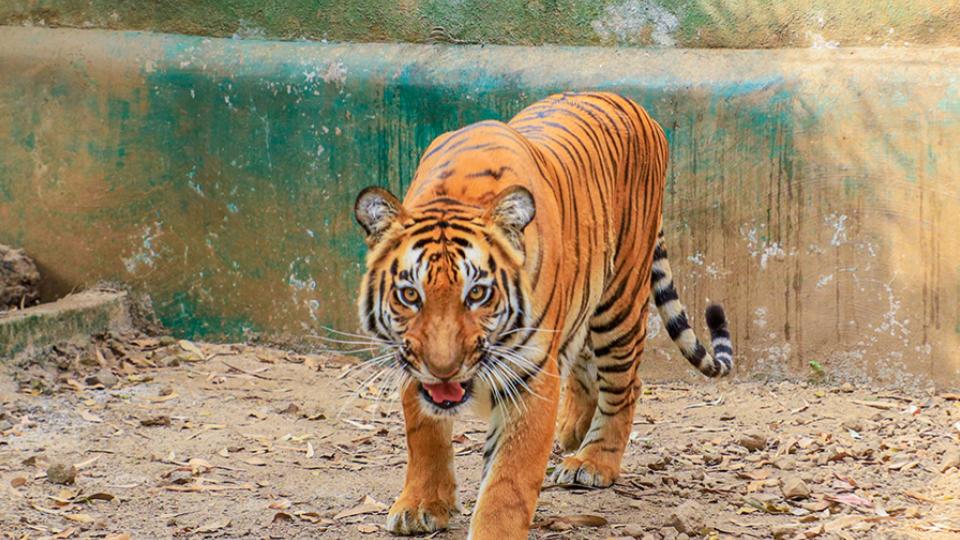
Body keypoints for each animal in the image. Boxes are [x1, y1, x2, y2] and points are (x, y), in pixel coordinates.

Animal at [353, 91, 733, 539]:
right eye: (410, 295)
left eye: (478, 293)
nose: (443, 369)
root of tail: (633, 104)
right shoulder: (410, 361)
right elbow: (424, 437)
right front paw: (421, 505)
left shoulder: (528, 377)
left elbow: (507, 483)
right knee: (584, 367)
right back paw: (573, 431)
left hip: (619, 301)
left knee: (626, 386)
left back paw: (592, 462)